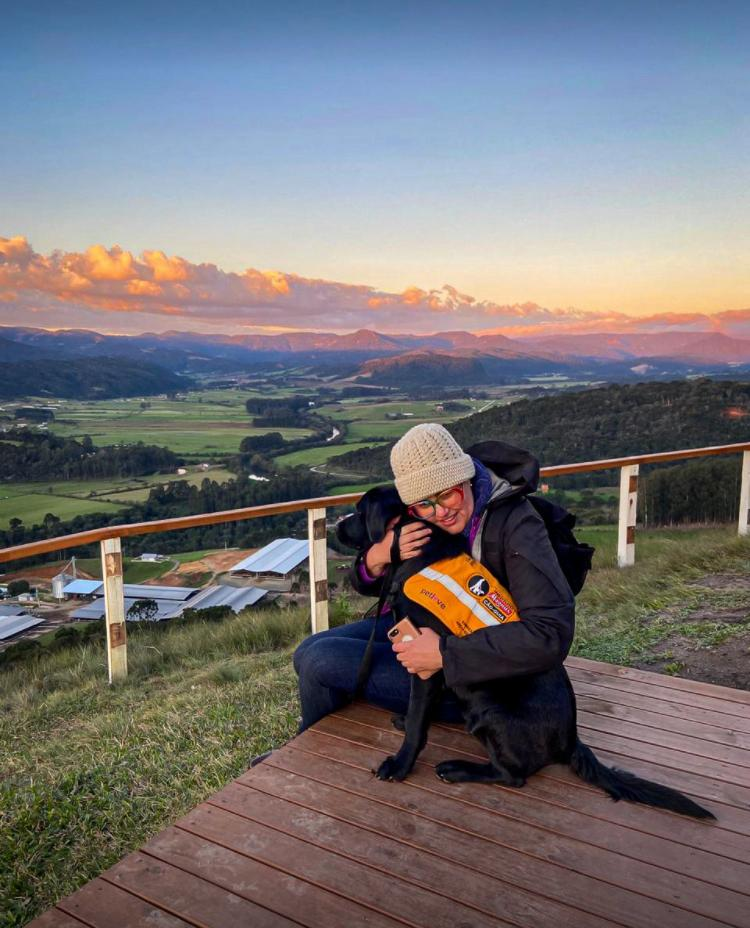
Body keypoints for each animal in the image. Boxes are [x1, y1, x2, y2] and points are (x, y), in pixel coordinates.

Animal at [340, 486, 716, 820]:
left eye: (359, 511)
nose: (338, 527)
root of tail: (572, 740)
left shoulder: (425, 657)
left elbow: (419, 722)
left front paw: (400, 764)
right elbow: (417, 712)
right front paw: (404, 720)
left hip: (489, 708)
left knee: (514, 776)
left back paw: (457, 769)